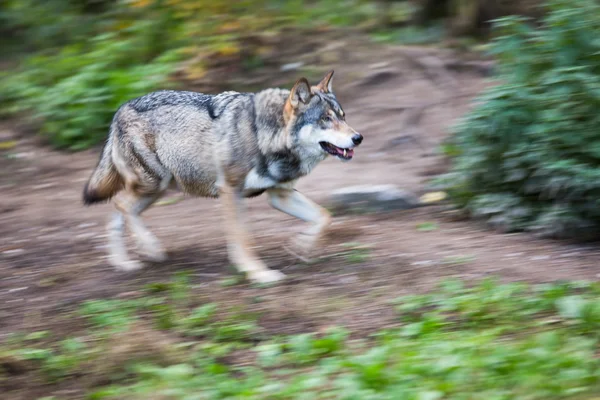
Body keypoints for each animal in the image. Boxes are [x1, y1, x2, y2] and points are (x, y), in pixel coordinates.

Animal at [82, 71, 364, 284]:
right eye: (325, 119)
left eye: (343, 116)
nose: (358, 138)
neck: (263, 134)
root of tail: (120, 110)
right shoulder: (230, 190)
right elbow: (243, 239)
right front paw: (258, 273)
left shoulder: (280, 195)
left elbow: (324, 216)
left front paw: (301, 246)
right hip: (153, 185)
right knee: (121, 205)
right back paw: (150, 248)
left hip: (155, 191)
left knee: (118, 212)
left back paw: (124, 263)